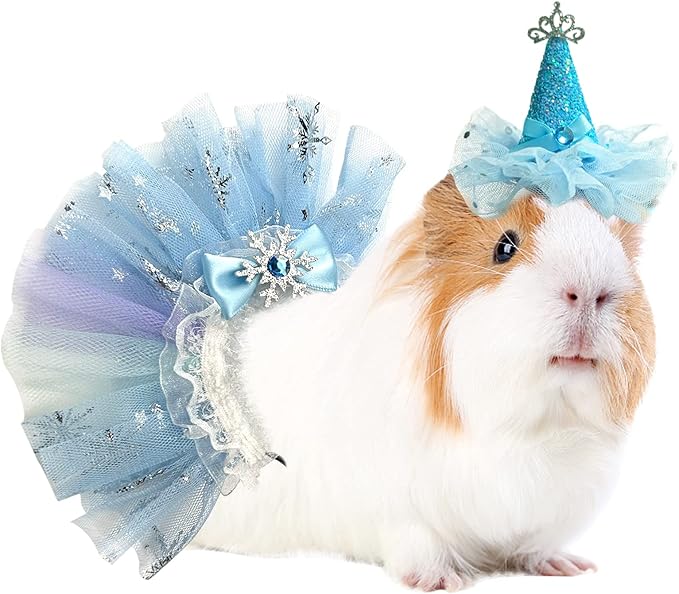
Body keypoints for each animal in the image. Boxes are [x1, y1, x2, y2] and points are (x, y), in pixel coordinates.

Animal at [192, 173, 654, 591]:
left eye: (615, 246)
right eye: (504, 247)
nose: (591, 291)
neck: (528, 432)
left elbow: (536, 545)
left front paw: (569, 568)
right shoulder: (398, 510)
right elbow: (420, 546)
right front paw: (442, 581)